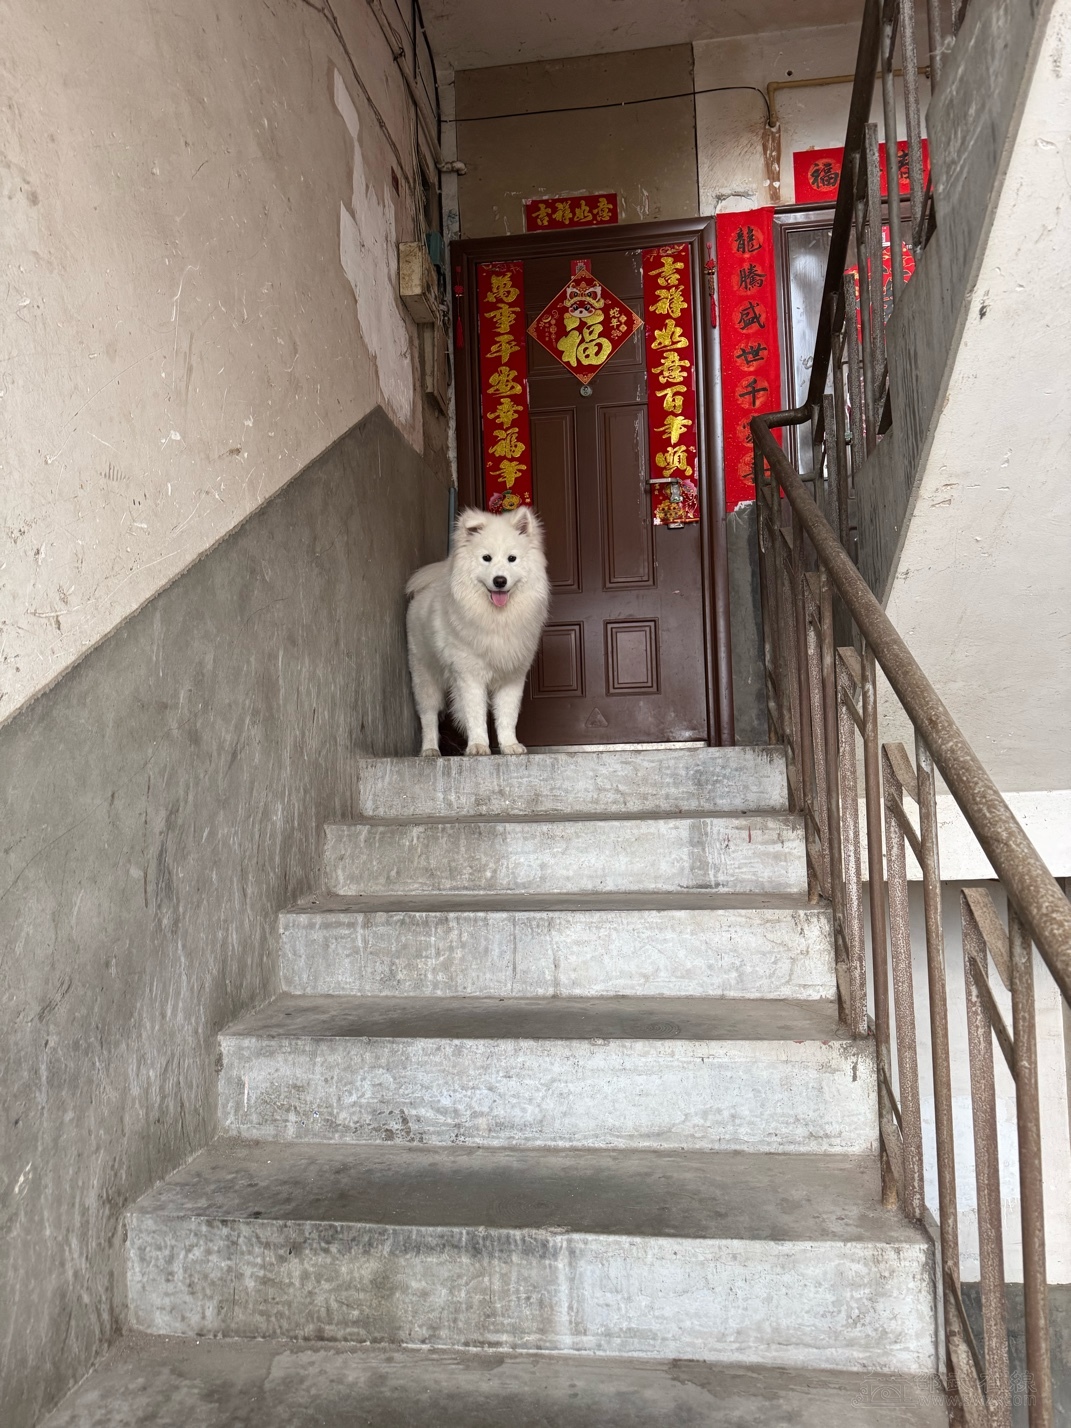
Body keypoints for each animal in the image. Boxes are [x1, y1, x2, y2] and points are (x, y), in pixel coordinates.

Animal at [406, 505, 550, 756]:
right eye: (486, 558)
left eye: (512, 559)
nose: (500, 580)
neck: (497, 619)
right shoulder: (469, 675)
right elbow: (475, 715)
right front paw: (478, 746)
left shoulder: (512, 676)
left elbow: (507, 715)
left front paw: (509, 745)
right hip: (425, 676)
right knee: (428, 715)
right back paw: (430, 750)